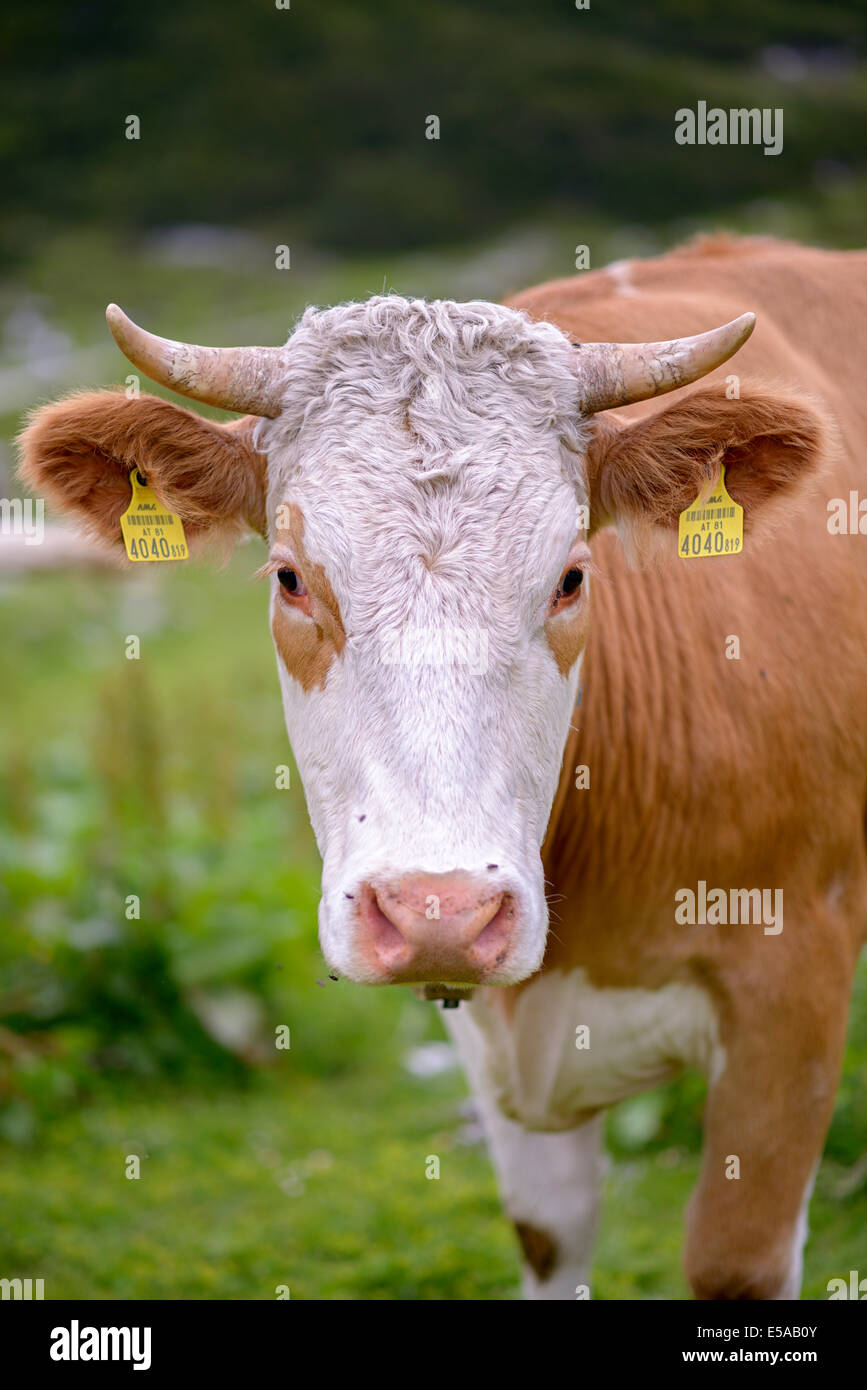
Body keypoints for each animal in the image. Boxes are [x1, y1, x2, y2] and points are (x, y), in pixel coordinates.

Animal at [17, 234, 867, 1300]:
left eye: (571, 576)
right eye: (291, 578)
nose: (439, 913)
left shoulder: (793, 985)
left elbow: (734, 1261)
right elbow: (549, 1238)